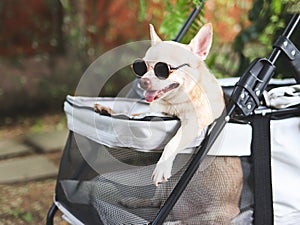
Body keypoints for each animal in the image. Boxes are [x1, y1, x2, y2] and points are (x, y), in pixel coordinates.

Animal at [95, 23, 243, 224]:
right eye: (142, 67)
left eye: (163, 70)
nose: (143, 81)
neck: (173, 104)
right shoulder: (154, 110)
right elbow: (137, 113)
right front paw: (110, 110)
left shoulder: (192, 123)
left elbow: (173, 142)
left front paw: (163, 165)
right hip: (165, 189)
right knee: (157, 201)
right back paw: (135, 202)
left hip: (208, 218)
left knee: (178, 220)